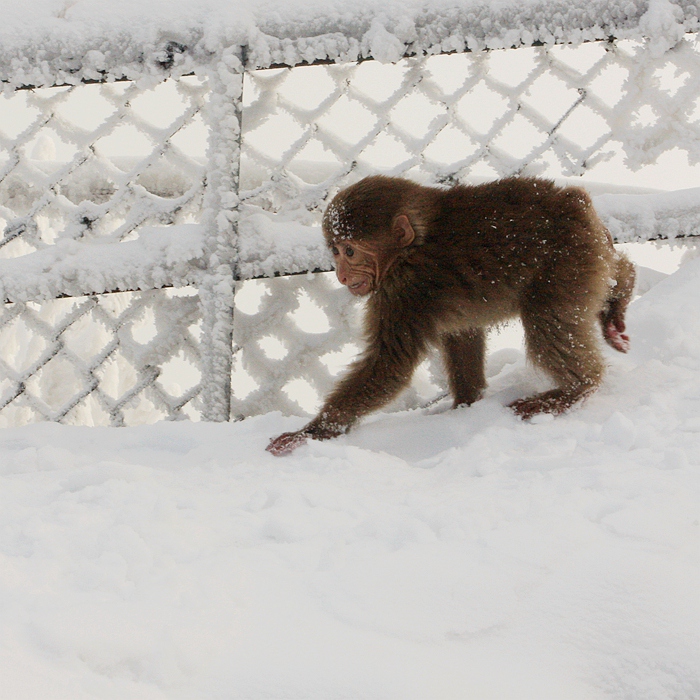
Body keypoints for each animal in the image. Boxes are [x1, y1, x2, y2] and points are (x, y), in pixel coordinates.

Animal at [266, 176, 636, 454]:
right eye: (336, 252)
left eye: (350, 251)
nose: (342, 275)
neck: (410, 248)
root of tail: (575, 202)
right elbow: (461, 333)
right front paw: (466, 404)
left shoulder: (402, 292)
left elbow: (389, 367)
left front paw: (312, 432)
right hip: (588, 255)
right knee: (602, 278)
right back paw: (621, 290)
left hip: (567, 262)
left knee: (548, 324)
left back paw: (576, 389)